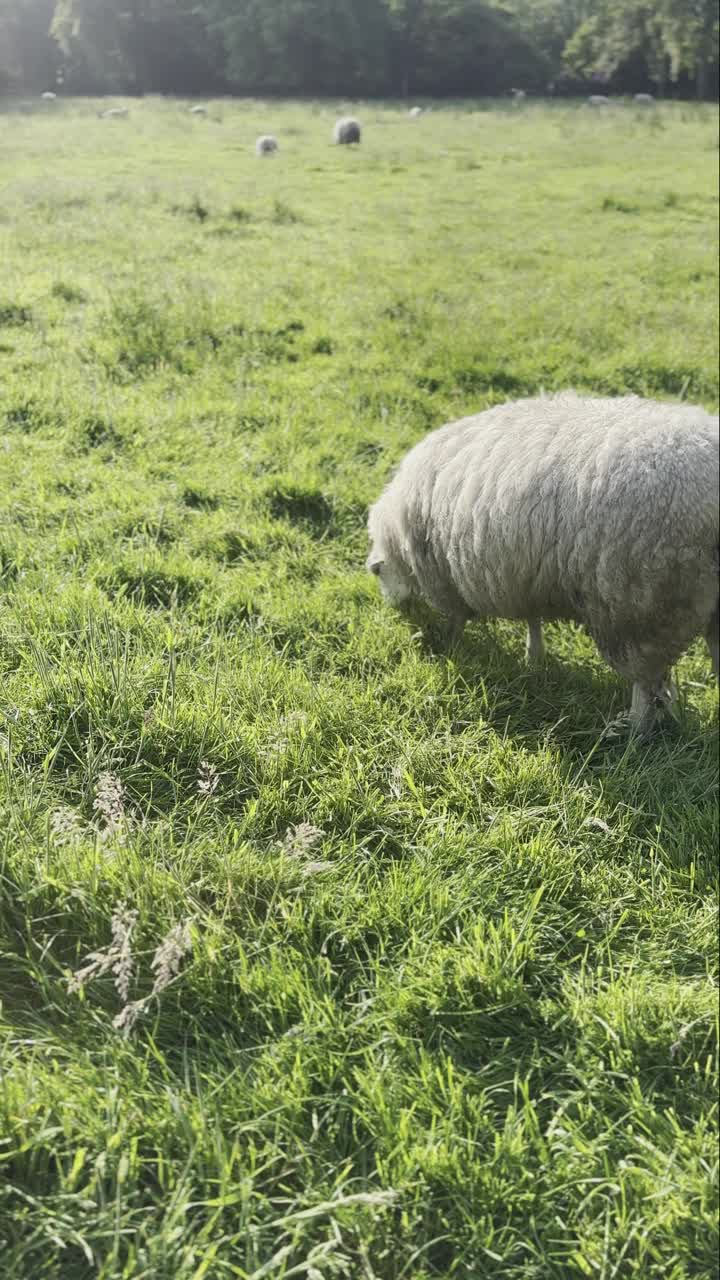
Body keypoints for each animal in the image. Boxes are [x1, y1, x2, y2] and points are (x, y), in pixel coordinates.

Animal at [366, 389, 712, 737]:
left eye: (378, 572)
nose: (399, 613)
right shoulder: (524, 574)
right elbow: (533, 620)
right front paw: (534, 657)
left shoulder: (447, 577)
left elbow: (457, 618)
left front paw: (451, 645)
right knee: (661, 677)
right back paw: (667, 715)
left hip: (637, 606)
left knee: (644, 679)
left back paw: (633, 730)